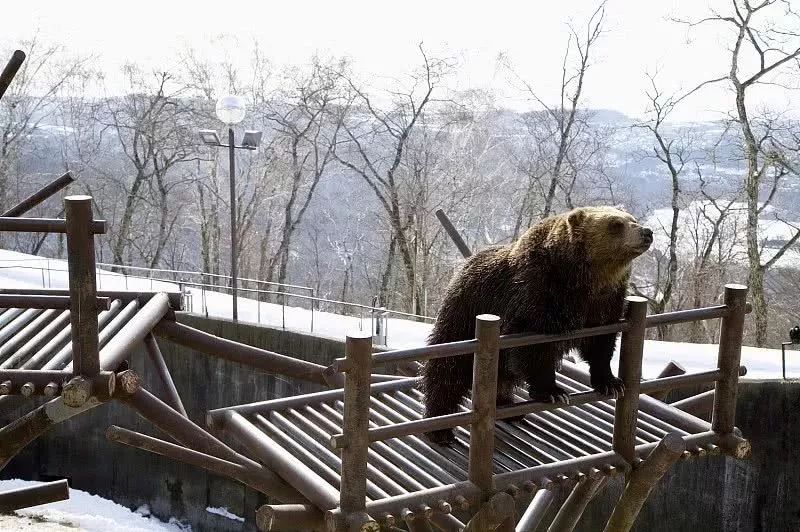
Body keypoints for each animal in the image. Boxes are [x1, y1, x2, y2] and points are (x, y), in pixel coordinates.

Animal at [422, 207, 652, 444]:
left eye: (632, 219)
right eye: (616, 224)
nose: (646, 232)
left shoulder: (604, 309)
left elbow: (601, 346)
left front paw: (611, 383)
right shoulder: (535, 299)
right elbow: (533, 350)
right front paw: (553, 391)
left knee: (501, 377)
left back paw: (508, 407)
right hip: (463, 316)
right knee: (449, 370)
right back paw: (439, 427)